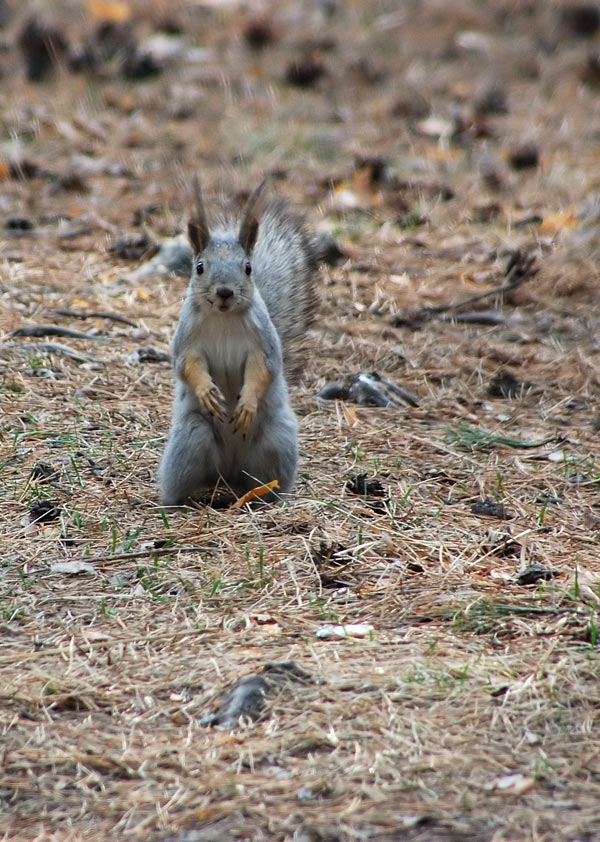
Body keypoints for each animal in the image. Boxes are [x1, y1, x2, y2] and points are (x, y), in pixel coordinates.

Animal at [158, 179, 318, 506]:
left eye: (248, 267)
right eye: (199, 266)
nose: (224, 292)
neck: (224, 318)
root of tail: (228, 474)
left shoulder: (262, 343)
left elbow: (263, 369)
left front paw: (246, 404)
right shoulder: (187, 341)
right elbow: (187, 365)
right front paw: (206, 391)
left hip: (277, 438)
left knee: (265, 479)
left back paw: (269, 497)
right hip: (191, 438)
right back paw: (173, 503)